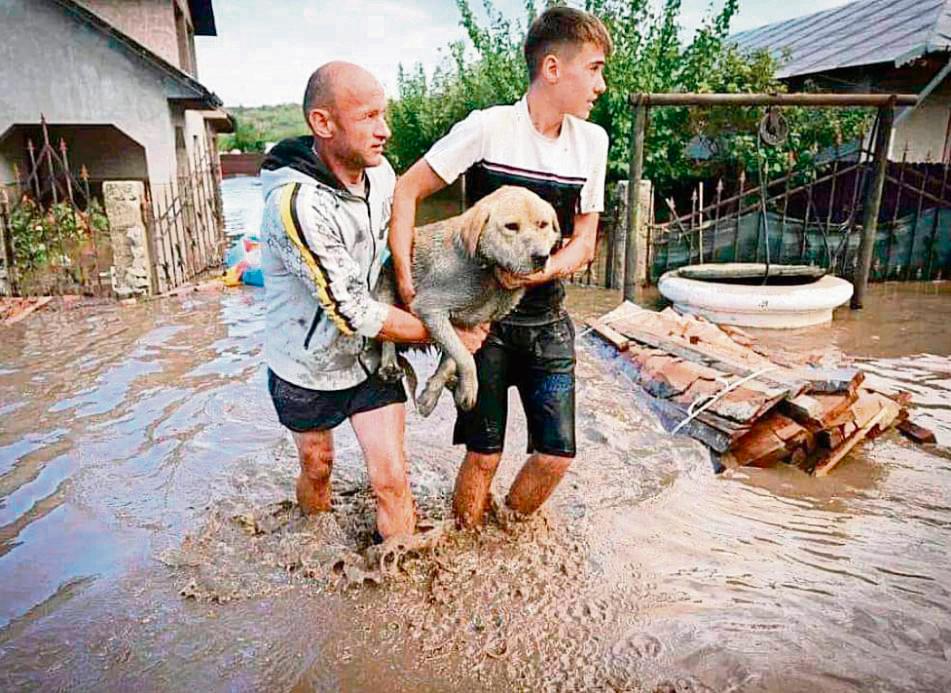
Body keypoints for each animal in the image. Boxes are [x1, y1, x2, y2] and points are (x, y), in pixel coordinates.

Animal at [376, 184, 560, 416]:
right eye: (511, 226)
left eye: (543, 225)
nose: (541, 257)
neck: (487, 271)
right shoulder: (430, 307)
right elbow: (464, 356)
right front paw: (469, 389)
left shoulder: (470, 326)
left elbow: (451, 359)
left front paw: (431, 395)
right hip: (386, 287)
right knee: (386, 337)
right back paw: (389, 364)